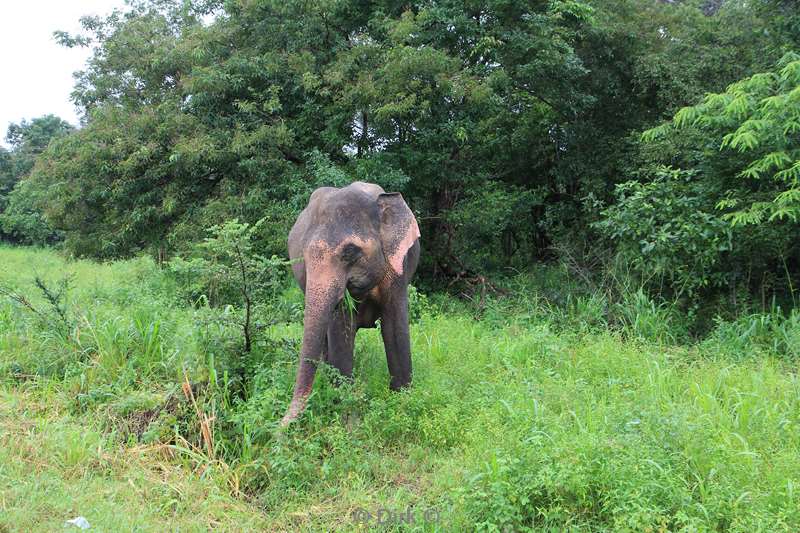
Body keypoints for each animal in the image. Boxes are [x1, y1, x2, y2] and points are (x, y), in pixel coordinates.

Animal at [280, 182, 418, 424]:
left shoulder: (398, 267)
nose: (280, 426)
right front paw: (348, 416)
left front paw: (402, 404)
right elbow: (341, 328)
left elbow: (394, 326)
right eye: (303, 257)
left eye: (350, 251)